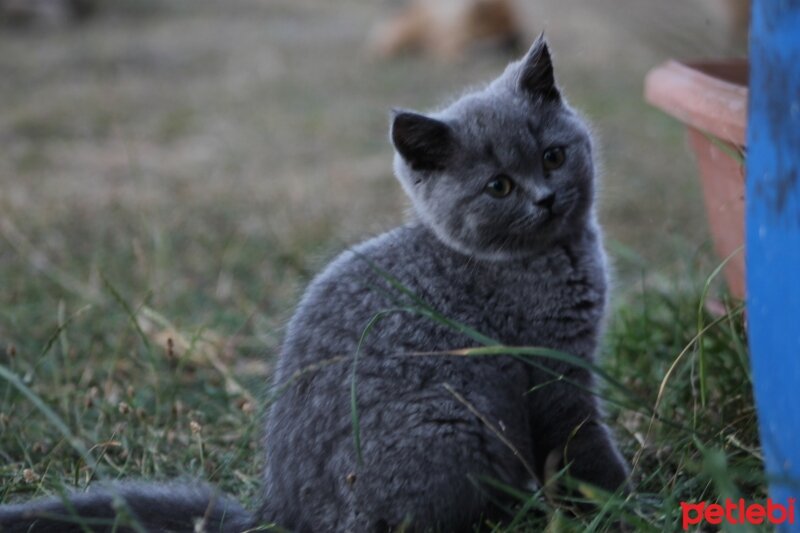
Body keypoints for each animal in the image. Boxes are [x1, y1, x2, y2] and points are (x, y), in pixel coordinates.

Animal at [0, 38, 628, 532]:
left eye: (553, 156)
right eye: (499, 186)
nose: (544, 199)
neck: (550, 256)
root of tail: (277, 515)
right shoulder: (553, 366)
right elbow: (582, 442)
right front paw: (620, 501)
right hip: (452, 426)